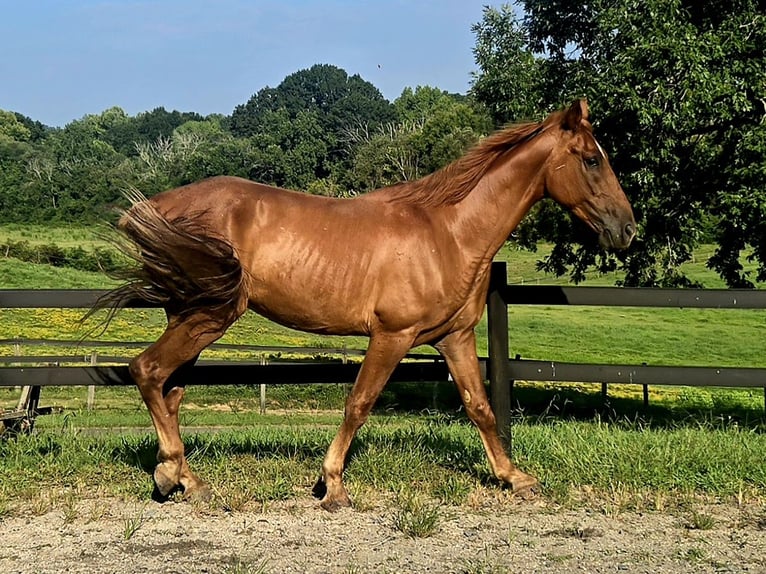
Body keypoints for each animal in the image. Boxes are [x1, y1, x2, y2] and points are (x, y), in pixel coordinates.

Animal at [98, 99, 635, 511]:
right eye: (591, 159)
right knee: (147, 370)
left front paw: (514, 477)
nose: (627, 229)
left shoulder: (454, 337)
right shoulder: (392, 336)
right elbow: (359, 403)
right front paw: (332, 486)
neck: (449, 233)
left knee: (170, 391)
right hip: (209, 317)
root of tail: (157, 207)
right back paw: (175, 474)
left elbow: (479, 406)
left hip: (193, 317)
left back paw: (181, 479)